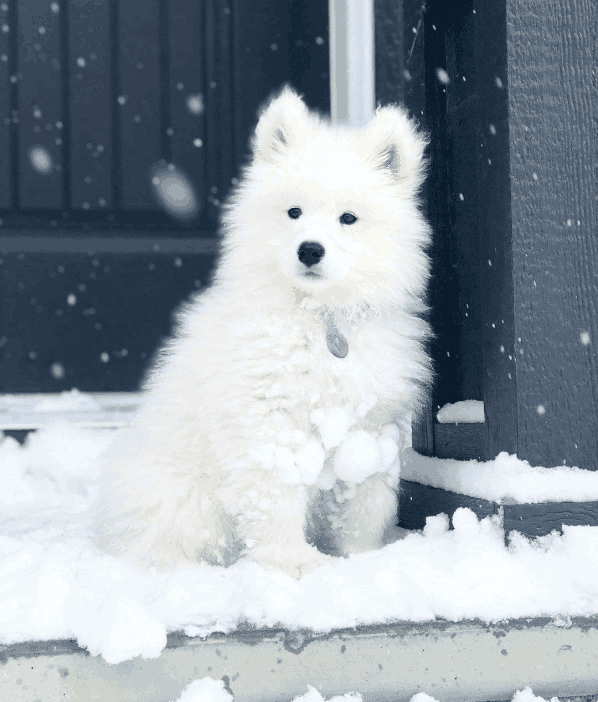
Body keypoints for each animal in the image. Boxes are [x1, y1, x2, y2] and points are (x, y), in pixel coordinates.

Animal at [99, 86, 436, 576]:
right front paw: (294, 562)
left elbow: (365, 503)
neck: (320, 319)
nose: (310, 250)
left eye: (348, 218)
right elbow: (275, 496)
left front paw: (362, 559)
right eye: (293, 212)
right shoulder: (267, 421)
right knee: (159, 543)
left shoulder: (371, 426)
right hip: (182, 494)